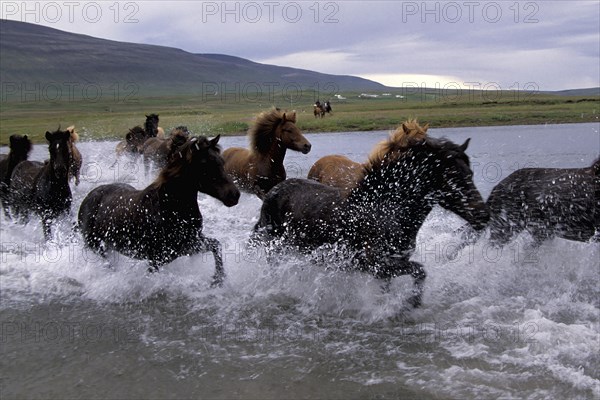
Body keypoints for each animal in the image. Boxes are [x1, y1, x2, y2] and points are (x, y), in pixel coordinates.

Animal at [78, 136, 240, 286]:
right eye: (204, 164)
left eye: (222, 161)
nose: (234, 195)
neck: (169, 209)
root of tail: (89, 197)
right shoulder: (157, 259)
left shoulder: (190, 244)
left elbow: (216, 246)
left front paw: (217, 279)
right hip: (97, 247)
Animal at [251, 136, 490, 308]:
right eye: (452, 177)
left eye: (470, 173)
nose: (483, 215)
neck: (386, 210)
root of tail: (272, 193)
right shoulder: (376, 265)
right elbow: (420, 271)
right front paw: (411, 303)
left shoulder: (387, 268)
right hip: (276, 251)